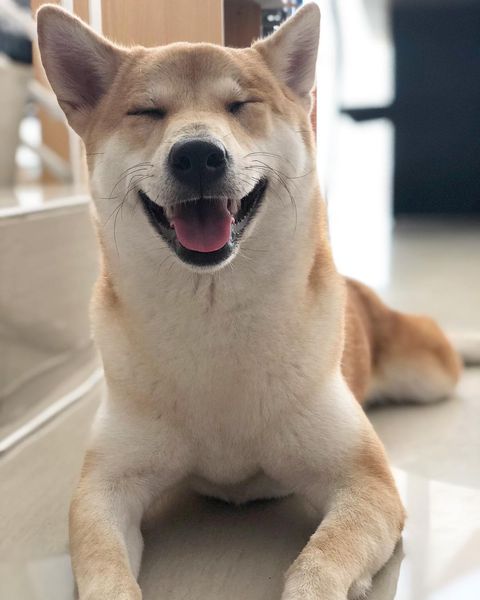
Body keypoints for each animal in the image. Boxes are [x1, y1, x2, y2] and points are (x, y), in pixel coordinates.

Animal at [37, 4, 461, 599]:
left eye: (241, 106)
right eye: (147, 111)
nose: (197, 155)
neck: (213, 323)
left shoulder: (364, 482)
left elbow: (319, 566)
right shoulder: (104, 488)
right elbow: (105, 571)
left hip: (429, 374)